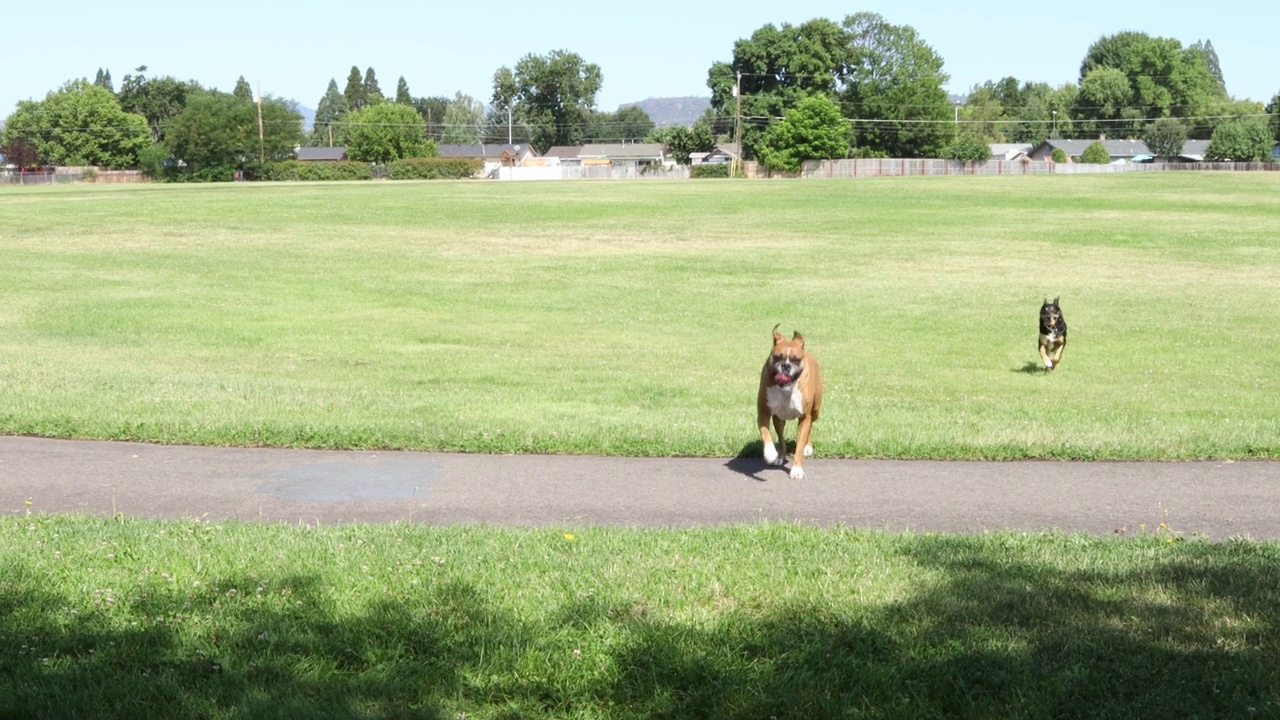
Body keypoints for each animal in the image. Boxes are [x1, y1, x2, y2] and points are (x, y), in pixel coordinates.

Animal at [752, 325, 824, 476]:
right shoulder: (764, 414)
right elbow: (767, 435)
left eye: (796, 360)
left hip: (815, 411)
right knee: (781, 439)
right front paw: (771, 453)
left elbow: (800, 444)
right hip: (779, 420)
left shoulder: (804, 417)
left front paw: (796, 469)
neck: (785, 389)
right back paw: (779, 456)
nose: (786, 366)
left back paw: (808, 447)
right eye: (777, 357)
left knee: (810, 427)